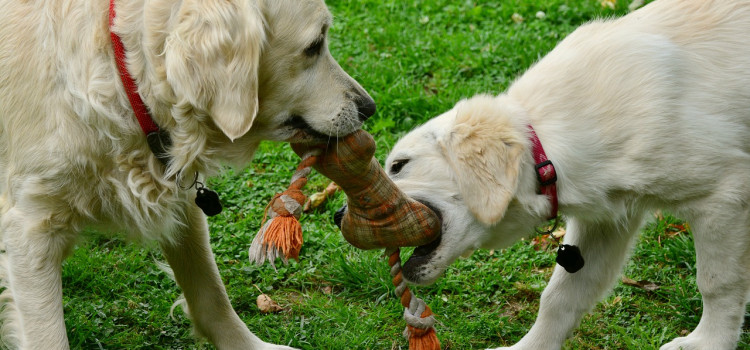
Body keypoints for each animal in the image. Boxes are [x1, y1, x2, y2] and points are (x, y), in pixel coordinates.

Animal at [0, 0, 376, 350]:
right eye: (314, 45)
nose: (369, 108)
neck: (125, 76)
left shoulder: (183, 201)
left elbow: (210, 293)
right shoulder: (32, 228)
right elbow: (48, 336)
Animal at [388, 0, 750, 350]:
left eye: (399, 165)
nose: (361, 214)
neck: (546, 148)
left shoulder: (723, 195)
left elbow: (717, 283)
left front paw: (709, 343)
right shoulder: (606, 222)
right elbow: (560, 297)